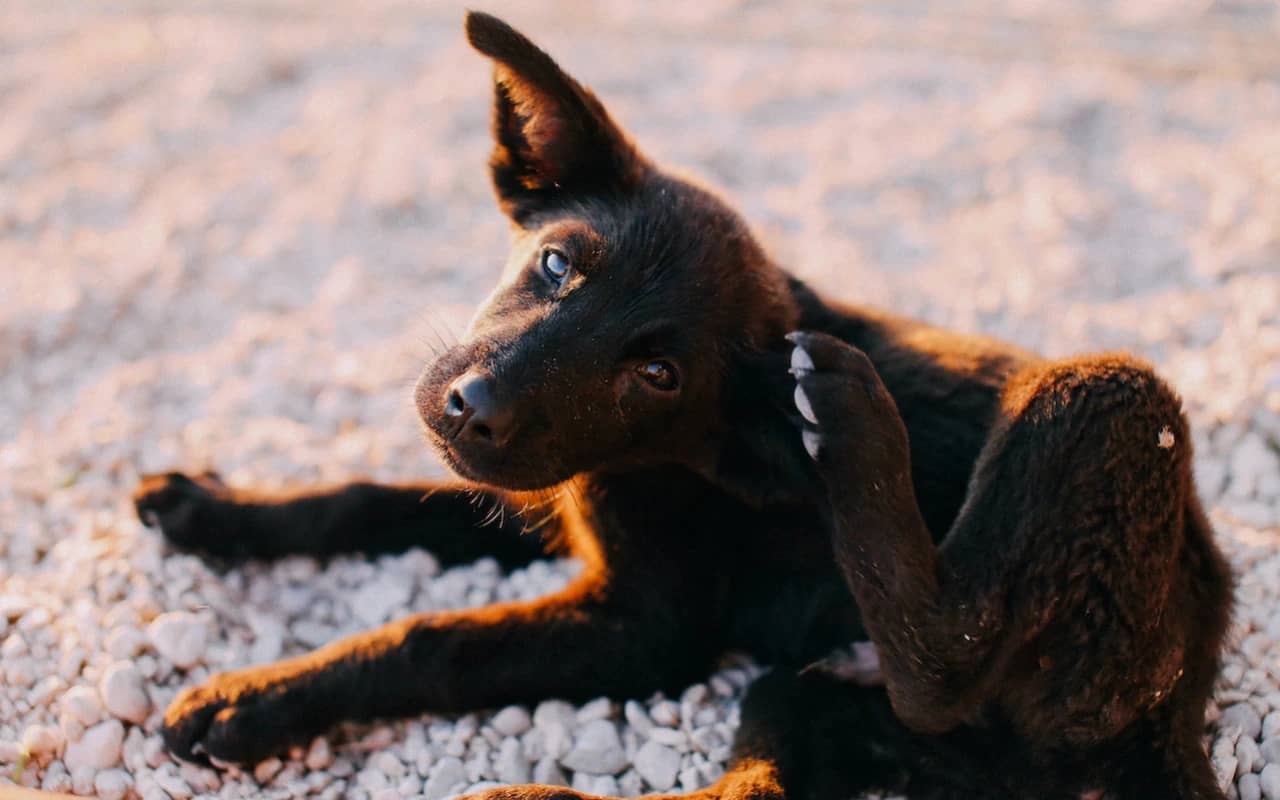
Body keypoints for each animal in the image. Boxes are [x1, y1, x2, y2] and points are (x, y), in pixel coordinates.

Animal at [135, 12, 1233, 798]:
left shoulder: (644, 625)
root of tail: (1182, 688)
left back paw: (847, 424)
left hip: (1105, 403)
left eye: (659, 373)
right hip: (841, 708)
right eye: (556, 262)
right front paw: (214, 509)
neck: (667, 454)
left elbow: (435, 638)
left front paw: (257, 698)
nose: (470, 408)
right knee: (774, 765)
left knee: (940, 661)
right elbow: (367, 497)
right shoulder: (548, 499)